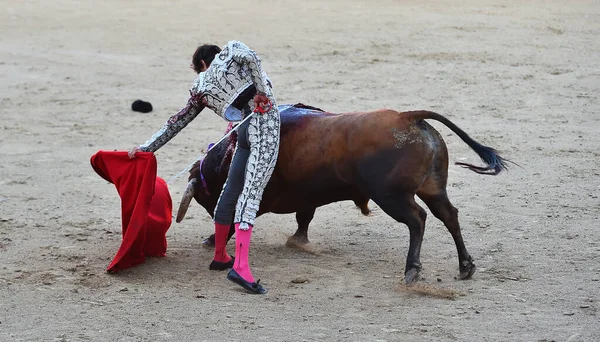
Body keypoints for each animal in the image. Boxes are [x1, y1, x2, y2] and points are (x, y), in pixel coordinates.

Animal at [175, 103, 506, 284]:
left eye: (205, 199)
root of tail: (406, 117)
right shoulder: (306, 197)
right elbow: (304, 218)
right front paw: (298, 241)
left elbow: (237, 219)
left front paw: (212, 239)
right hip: (433, 188)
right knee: (448, 215)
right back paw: (466, 266)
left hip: (392, 197)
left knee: (418, 220)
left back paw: (412, 269)